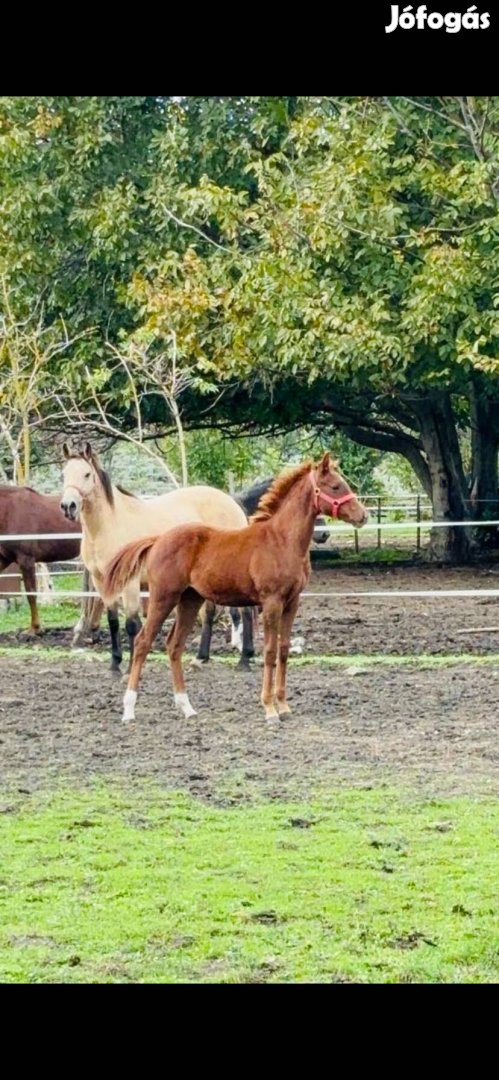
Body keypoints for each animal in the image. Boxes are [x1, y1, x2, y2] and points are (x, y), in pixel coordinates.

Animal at [101, 451, 369, 721]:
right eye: (335, 486)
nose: (363, 516)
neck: (282, 540)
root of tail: (158, 539)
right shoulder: (271, 602)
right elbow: (269, 651)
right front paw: (269, 709)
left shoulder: (292, 602)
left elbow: (283, 649)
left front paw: (284, 706)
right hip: (163, 597)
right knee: (143, 642)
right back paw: (129, 710)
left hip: (189, 600)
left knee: (174, 646)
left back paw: (187, 707)